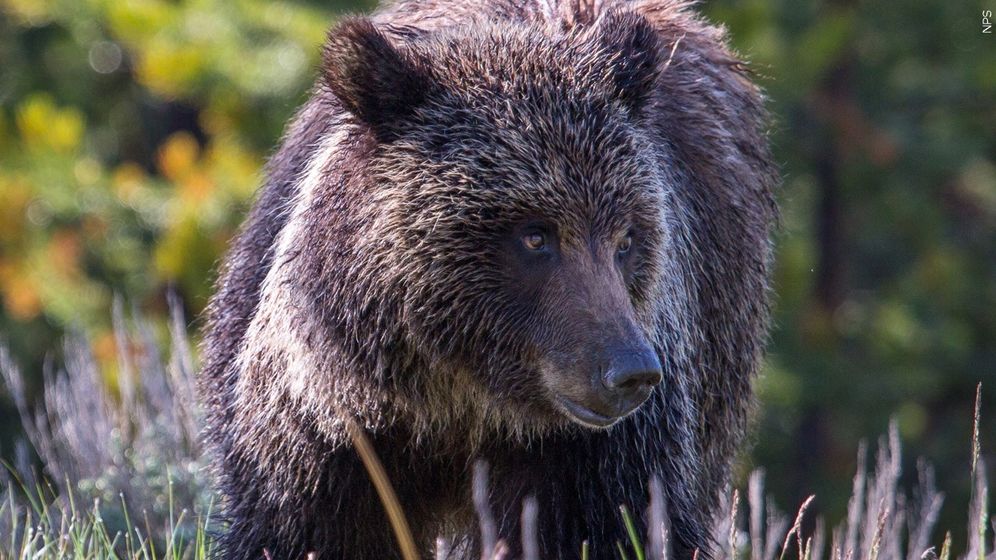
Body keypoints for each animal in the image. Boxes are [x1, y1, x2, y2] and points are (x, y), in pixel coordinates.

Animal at [198, 0, 778, 558]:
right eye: (535, 235)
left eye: (626, 239)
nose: (632, 371)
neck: (459, 405)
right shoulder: (327, 436)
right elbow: (309, 532)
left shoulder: (594, 456)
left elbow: (615, 528)